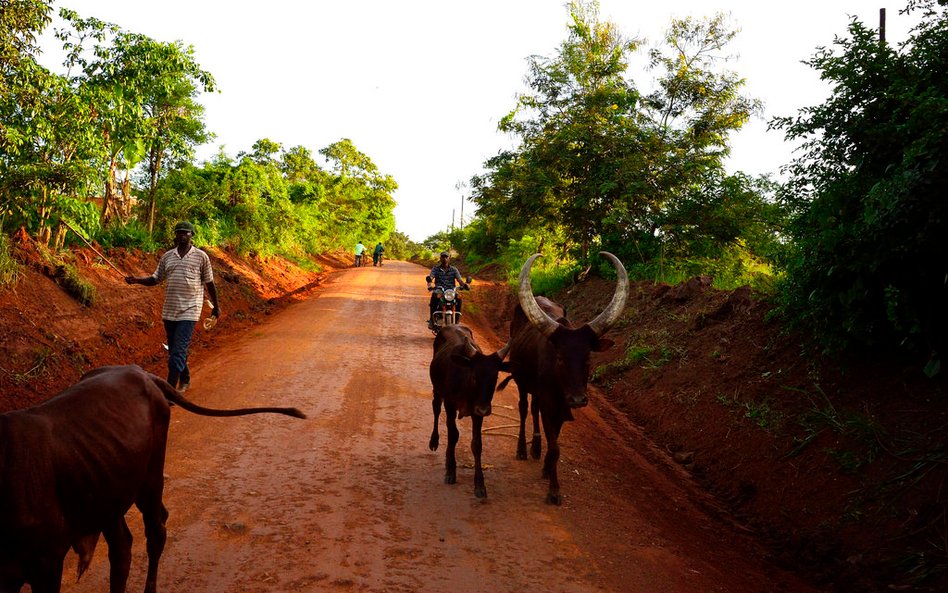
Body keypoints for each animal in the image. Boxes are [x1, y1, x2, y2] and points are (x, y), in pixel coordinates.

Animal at [0, 360, 304, 592]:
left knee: (155, 532)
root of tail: (140, 372)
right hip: (108, 490)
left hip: (150, 478)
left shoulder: (46, 562)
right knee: (123, 548)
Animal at [430, 326, 512, 498]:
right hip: (437, 391)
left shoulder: (477, 412)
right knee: (436, 409)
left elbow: (477, 444)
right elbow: (453, 435)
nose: (485, 409)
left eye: (495, 377)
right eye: (475, 376)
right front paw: (451, 472)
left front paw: (480, 485)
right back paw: (434, 441)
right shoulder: (450, 405)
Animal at [500, 251, 624, 504]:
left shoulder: (559, 408)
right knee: (523, 408)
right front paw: (554, 491)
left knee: (533, 408)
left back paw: (536, 447)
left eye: (588, 358)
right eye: (559, 357)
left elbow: (554, 443)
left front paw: (547, 468)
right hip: (520, 381)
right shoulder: (550, 405)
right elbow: (555, 447)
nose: (577, 400)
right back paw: (522, 449)